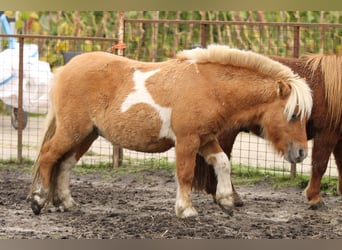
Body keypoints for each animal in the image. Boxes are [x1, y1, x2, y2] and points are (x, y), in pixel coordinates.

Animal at [28, 45, 312, 219]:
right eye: (293, 114)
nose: (301, 153)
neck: (208, 86)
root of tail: (66, 69)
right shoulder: (187, 140)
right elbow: (185, 174)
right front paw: (185, 210)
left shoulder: (205, 139)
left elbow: (223, 163)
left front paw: (226, 201)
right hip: (72, 131)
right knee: (49, 156)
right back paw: (38, 200)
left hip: (87, 135)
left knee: (65, 164)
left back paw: (65, 202)